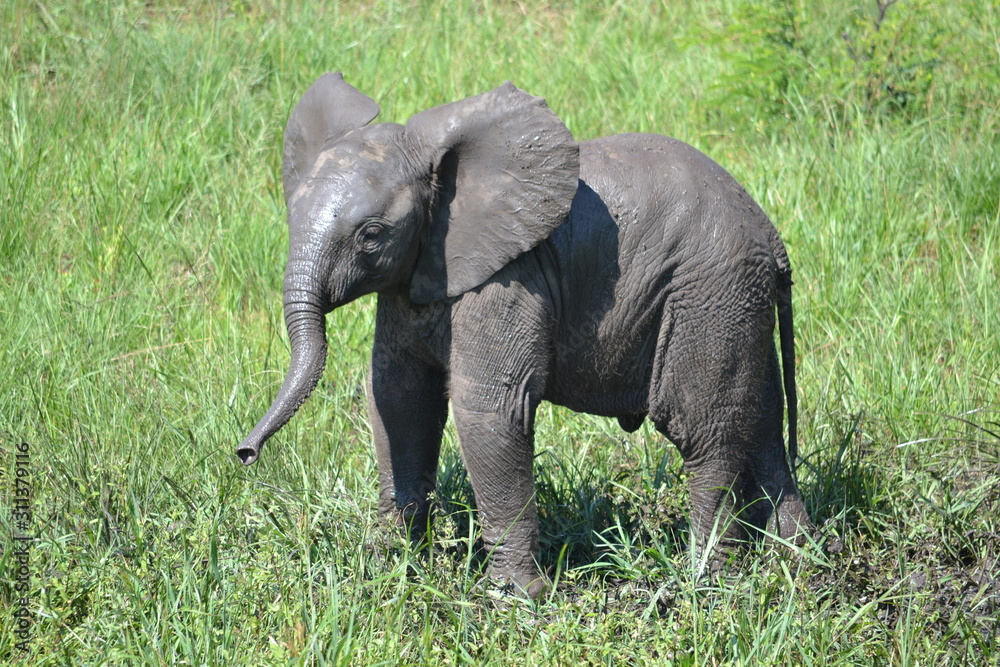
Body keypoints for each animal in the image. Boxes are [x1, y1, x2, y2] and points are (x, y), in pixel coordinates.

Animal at [236, 72, 812, 598]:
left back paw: (708, 584)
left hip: (709, 292)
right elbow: (398, 400)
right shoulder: (413, 279)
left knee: (705, 434)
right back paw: (797, 561)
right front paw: (393, 571)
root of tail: (773, 239)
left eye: (371, 236)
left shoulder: (509, 278)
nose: (244, 454)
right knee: (763, 425)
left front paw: (516, 600)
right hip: (739, 304)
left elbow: (490, 408)